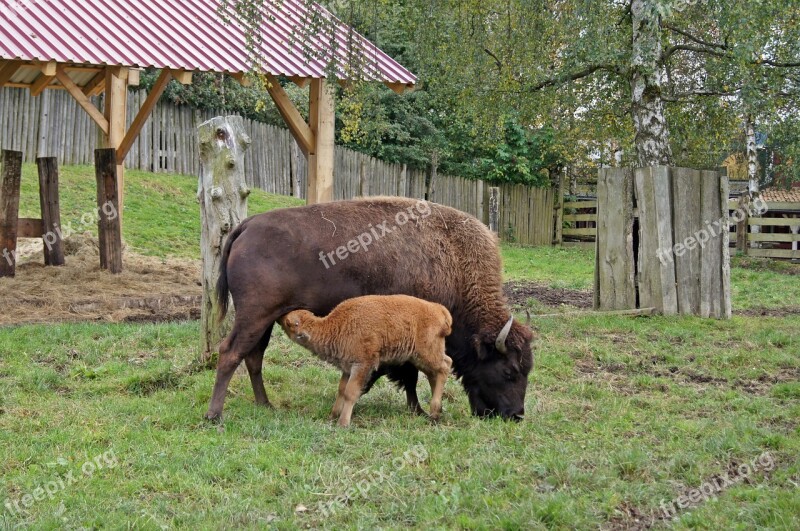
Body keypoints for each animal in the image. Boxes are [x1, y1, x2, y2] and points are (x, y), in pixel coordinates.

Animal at [276, 296, 450, 428]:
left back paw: (435, 411)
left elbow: (350, 392)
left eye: (290, 323)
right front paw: (333, 415)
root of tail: (439, 310)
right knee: (435, 373)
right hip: (419, 358)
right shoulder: (347, 368)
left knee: (444, 367)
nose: (280, 316)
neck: (336, 326)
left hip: (426, 354)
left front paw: (343, 423)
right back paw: (437, 411)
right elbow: (341, 389)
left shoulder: (362, 365)